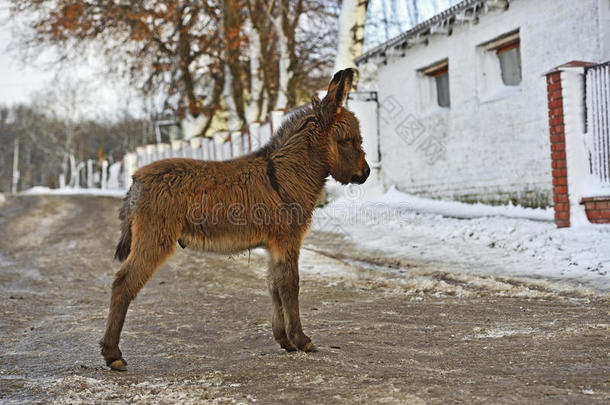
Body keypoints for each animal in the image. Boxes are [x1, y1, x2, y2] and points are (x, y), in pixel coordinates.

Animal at [98, 68, 370, 370]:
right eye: (349, 140)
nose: (367, 173)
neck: (284, 176)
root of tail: (137, 179)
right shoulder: (288, 240)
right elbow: (290, 285)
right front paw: (301, 340)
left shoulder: (274, 245)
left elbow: (274, 286)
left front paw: (284, 340)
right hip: (154, 239)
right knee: (122, 284)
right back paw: (113, 354)